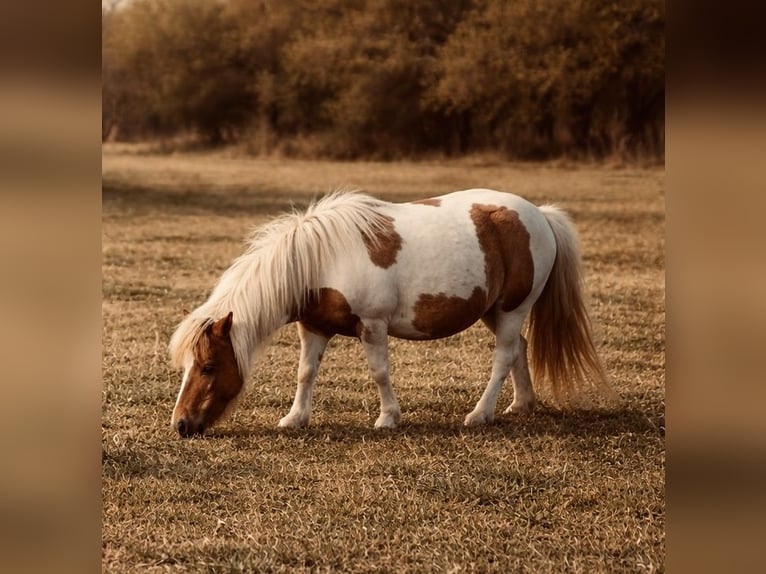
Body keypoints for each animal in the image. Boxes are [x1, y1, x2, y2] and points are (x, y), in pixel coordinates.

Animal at [168, 189, 608, 437]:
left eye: (208, 366)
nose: (180, 425)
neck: (322, 258)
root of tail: (540, 214)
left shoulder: (373, 326)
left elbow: (379, 372)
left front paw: (388, 418)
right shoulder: (313, 327)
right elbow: (305, 373)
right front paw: (295, 419)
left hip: (513, 308)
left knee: (503, 357)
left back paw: (480, 414)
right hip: (493, 310)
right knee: (519, 348)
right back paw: (521, 404)